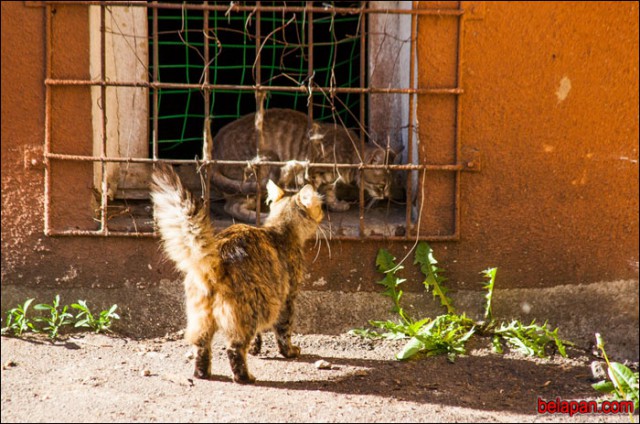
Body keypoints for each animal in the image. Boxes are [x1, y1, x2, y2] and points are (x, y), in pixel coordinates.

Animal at [149, 164, 320, 382]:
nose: (323, 215)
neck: (279, 230)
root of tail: (217, 256)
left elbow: (260, 335)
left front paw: (256, 349)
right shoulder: (287, 298)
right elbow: (284, 330)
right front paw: (289, 352)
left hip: (201, 316)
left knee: (201, 346)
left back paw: (202, 373)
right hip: (247, 311)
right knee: (234, 349)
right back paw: (245, 377)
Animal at [210, 107, 396, 222]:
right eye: (382, 185)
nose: (386, 196)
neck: (350, 153)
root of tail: (213, 154)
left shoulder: (328, 181)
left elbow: (330, 193)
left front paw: (336, 205)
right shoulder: (308, 173)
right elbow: (310, 194)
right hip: (262, 169)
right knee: (232, 207)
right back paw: (261, 218)